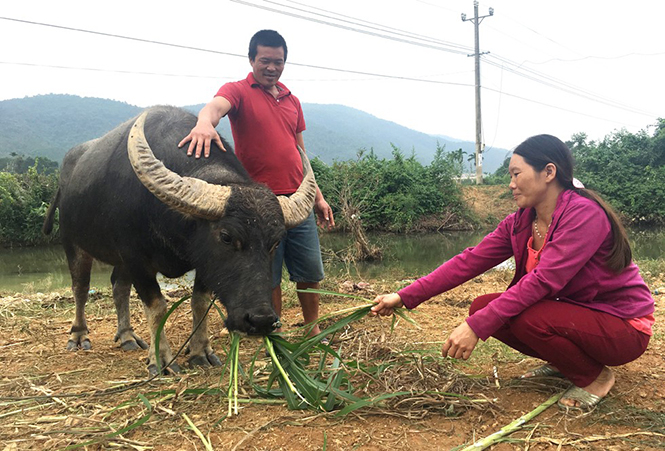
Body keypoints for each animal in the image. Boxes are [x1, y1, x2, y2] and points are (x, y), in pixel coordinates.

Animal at [42, 105, 316, 374]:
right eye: (226, 237)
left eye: (276, 242)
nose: (261, 320)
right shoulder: (136, 258)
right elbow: (157, 306)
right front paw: (161, 359)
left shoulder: (202, 262)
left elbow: (199, 302)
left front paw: (200, 351)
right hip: (73, 243)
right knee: (81, 288)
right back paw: (79, 335)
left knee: (118, 286)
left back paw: (127, 336)